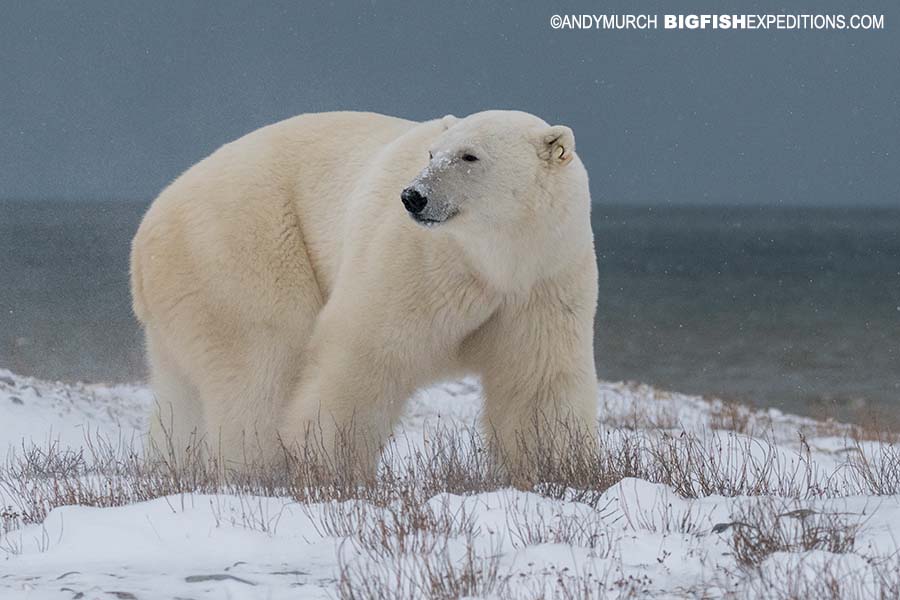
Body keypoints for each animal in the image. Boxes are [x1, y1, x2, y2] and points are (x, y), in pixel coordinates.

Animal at [132, 111, 596, 478]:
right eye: (432, 154)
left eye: (470, 156)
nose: (413, 196)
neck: (492, 261)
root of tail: (146, 233)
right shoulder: (417, 262)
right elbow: (367, 350)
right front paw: (328, 459)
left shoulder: (544, 279)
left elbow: (536, 378)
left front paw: (558, 467)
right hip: (243, 245)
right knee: (265, 360)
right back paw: (260, 467)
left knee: (180, 393)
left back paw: (172, 466)